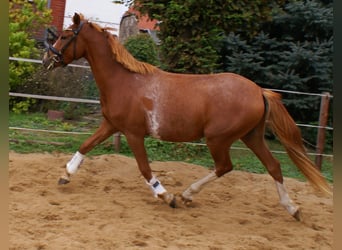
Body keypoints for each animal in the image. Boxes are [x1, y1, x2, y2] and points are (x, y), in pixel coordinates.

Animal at [42, 13, 332, 221]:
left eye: (65, 35)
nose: (46, 60)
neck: (124, 81)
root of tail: (259, 90)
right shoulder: (111, 125)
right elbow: (85, 145)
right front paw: (65, 176)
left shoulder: (134, 134)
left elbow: (145, 169)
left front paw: (167, 196)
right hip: (252, 136)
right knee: (274, 166)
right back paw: (293, 209)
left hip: (218, 139)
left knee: (225, 167)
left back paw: (186, 195)